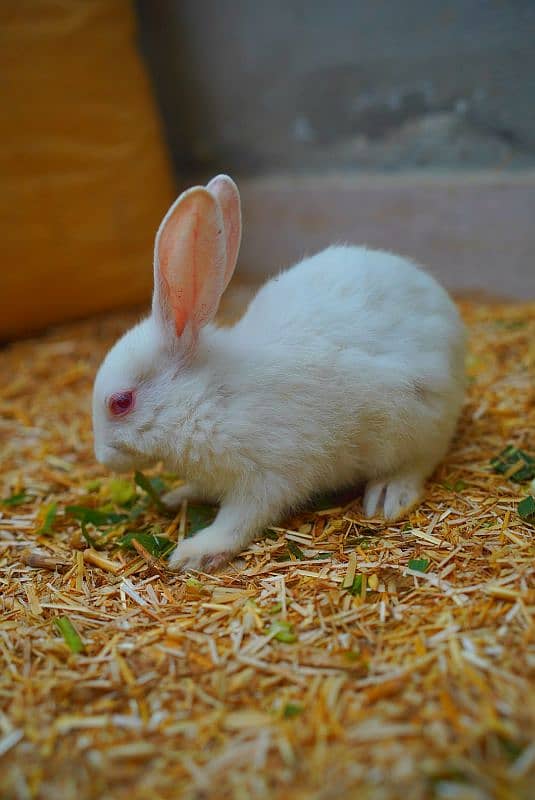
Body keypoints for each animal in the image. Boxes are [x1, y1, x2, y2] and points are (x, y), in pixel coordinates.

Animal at [94, 177, 466, 576]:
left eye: (121, 402)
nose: (102, 458)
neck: (206, 398)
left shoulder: (267, 479)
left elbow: (239, 520)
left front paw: (195, 553)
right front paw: (175, 496)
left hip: (417, 421)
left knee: (422, 460)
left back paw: (388, 496)